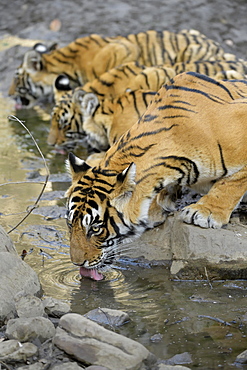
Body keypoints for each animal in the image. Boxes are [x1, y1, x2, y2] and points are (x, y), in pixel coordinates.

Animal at [64, 71, 247, 278]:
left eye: (95, 228)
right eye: (70, 224)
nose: (77, 262)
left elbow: (232, 182)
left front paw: (205, 212)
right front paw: (155, 207)